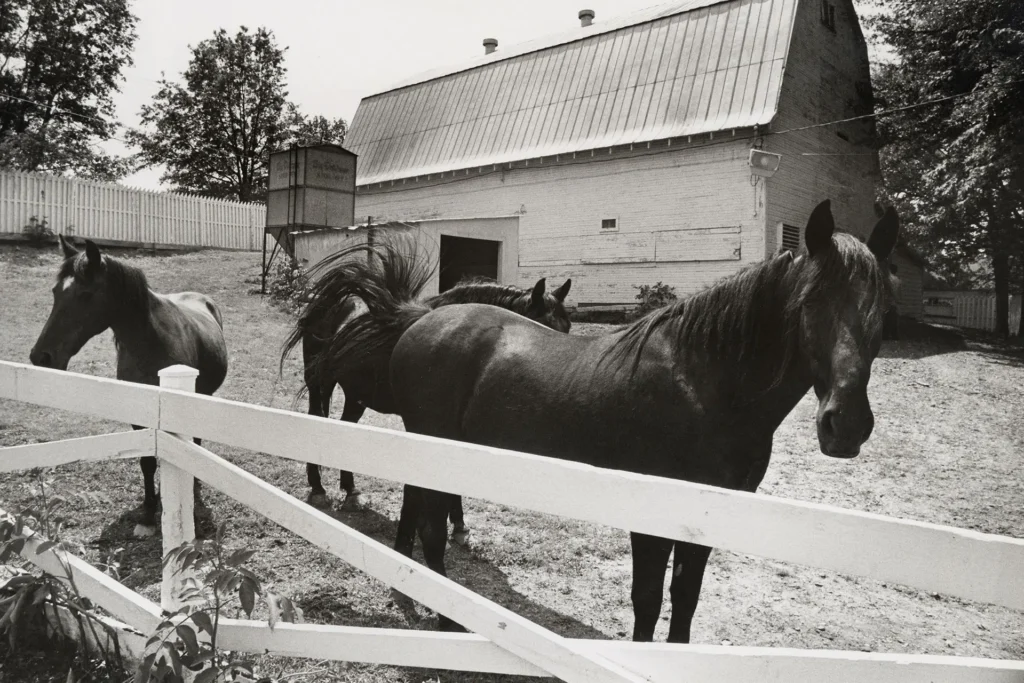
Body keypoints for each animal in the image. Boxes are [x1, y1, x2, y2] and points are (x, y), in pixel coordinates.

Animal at [29, 240, 228, 540]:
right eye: (55, 292)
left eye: (86, 294)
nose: (41, 356)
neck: (151, 343)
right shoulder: (139, 416)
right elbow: (147, 462)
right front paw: (147, 514)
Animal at [280, 237, 573, 540]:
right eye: (540, 327)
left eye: (567, 328)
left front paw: (458, 523)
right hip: (320, 384)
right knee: (317, 418)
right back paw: (318, 489)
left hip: (356, 395)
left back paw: (351, 492)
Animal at [358, 200, 897, 638]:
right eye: (810, 302)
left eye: (881, 308)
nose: (847, 425)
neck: (702, 383)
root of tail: (421, 320)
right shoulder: (650, 515)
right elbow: (648, 601)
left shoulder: (704, 521)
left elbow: (685, 600)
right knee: (430, 529)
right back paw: (448, 620)